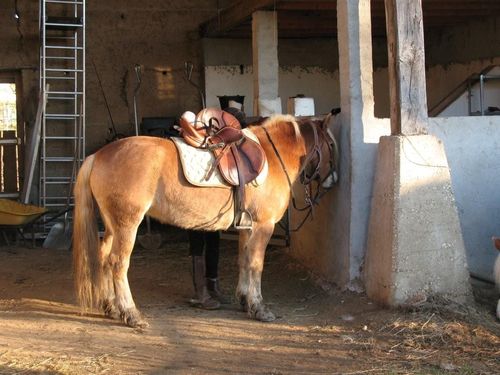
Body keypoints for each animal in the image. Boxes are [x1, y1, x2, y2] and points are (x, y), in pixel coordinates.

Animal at [73, 112, 340, 328]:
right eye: (331, 144)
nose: (333, 180)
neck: (272, 155)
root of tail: (98, 155)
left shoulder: (247, 227)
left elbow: (244, 261)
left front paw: (244, 299)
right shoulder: (263, 226)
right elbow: (256, 265)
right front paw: (259, 308)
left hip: (112, 226)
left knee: (104, 258)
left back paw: (111, 307)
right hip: (127, 225)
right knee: (118, 263)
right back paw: (130, 313)